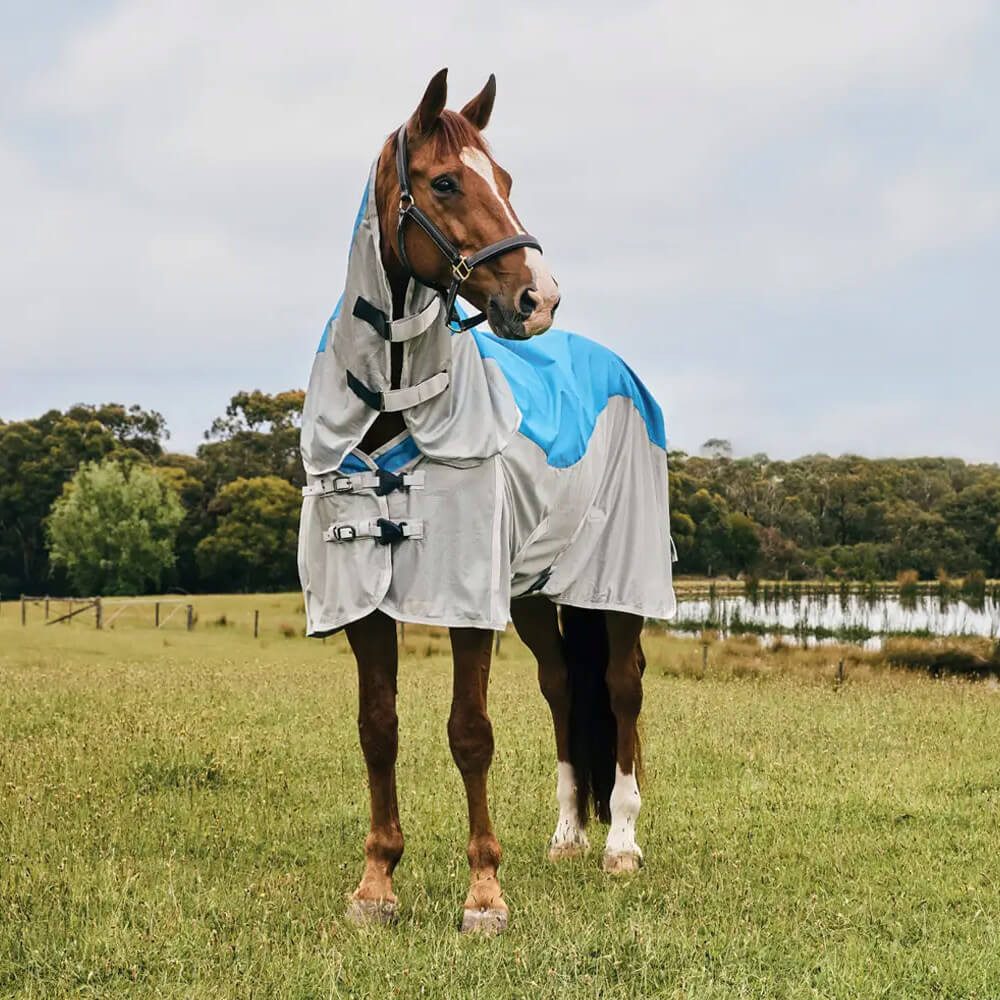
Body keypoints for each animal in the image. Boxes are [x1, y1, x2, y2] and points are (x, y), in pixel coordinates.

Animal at [298, 69, 675, 933]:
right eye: (445, 181)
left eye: (503, 180)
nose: (540, 298)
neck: (394, 400)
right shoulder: (364, 604)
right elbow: (378, 729)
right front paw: (377, 883)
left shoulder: (467, 601)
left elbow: (470, 734)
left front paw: (484, 893)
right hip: (535, 592)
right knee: (563, 688)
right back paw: (569, 834)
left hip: (619, 585)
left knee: (622, 689)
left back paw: (621, 844)